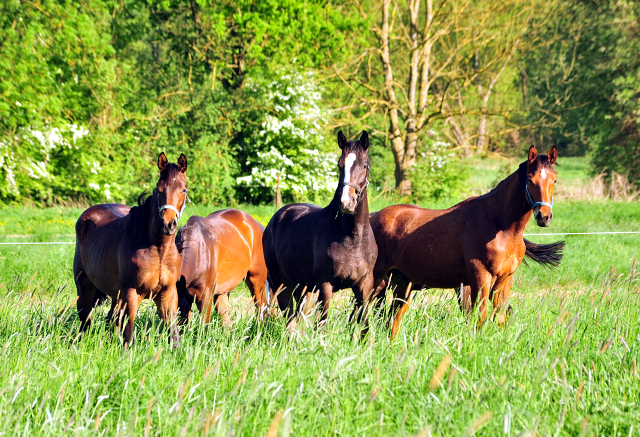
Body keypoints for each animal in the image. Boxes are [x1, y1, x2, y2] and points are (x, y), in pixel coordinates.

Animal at [73, 152, 188, 344]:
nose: (168, 224)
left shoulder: (168, 293)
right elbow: (128, 334)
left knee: (110, 319)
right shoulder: (132, 293)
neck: (158, 251)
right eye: (159, 189)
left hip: (115, 294)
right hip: (85, 285)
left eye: (184, 189)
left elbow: (174, 335)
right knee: (85, 318)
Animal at [262, 131, 378, 328]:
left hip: (302, 286)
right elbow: (322, 323)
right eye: (340, 165)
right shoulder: (325, 285)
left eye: (364, 165)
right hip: (281, 283)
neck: (352, 240)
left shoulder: (364, 284)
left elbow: (364, 323)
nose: (346, 202)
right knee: (289, 317)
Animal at [370, 146, 564, 338]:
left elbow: (499, 319)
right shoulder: (481, 278)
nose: (544, 216)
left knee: (391, 322)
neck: (499, 225)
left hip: (402, 284)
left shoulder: (504, 281)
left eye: (554, 180)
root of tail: (372, 217)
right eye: (530, 180)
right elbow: (481, 318)